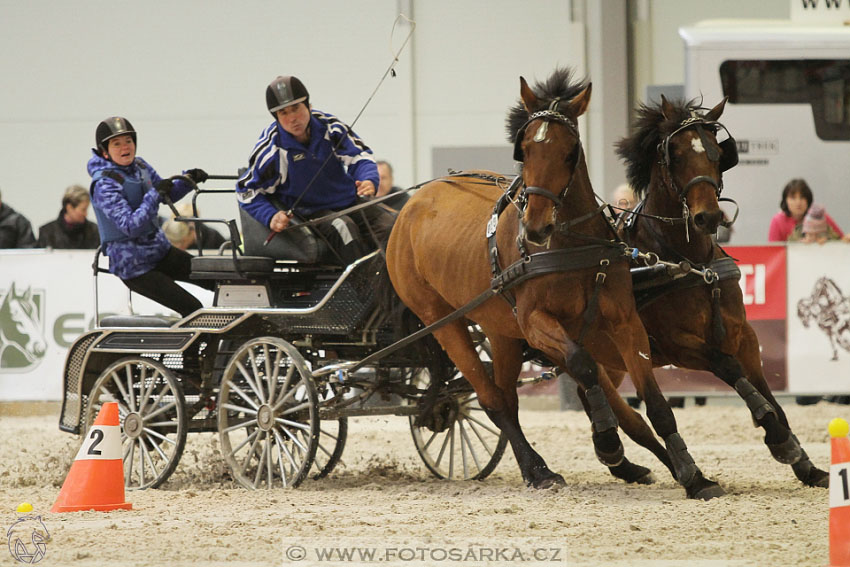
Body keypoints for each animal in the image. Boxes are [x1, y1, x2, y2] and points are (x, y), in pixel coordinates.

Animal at [384, 69, 724, 500]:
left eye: (570, 151)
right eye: (525, 149)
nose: (536, 227)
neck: (571, 244)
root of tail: (409, 205)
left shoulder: (623, 320)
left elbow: (654, 402)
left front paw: (693, 475)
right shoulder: (537, 323)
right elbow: (583, 366)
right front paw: (608, 442)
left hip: (500, 330)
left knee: (507, 398)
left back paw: (539, 467)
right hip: (443, 321)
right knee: (492, 399)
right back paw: (540, 469)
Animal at [596, 95, 828, 490]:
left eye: (718, 154)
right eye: (673, 153)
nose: (708, 217)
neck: (692, 264)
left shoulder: (743, 335)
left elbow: (768, 394)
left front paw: (804, 462)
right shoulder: (676, 345)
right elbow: (727, 366)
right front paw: (776, 435)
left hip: (612, 362)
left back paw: (632, 466)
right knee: (624, 416)